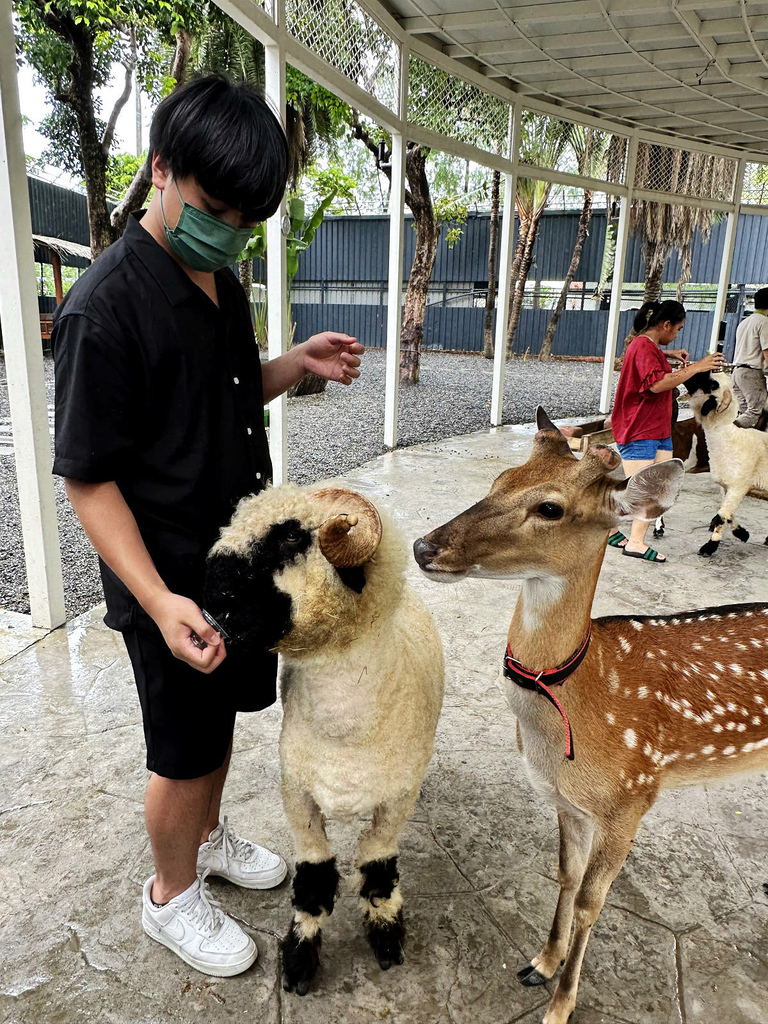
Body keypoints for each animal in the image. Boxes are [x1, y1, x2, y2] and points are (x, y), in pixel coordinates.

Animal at [202, 483, 444, 995]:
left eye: (292, 537)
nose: (211, 593)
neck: (346, 732)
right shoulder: (297, 793)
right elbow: (313, 880)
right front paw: (299, 961)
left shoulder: (395, 801)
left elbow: (378, 869)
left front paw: (387, 939)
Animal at [415, 407, 768, 1024]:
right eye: (500, 479)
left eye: (550, 508)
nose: (422, 547)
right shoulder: (569, 803)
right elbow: (564, 875)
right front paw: (540, 962)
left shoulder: (632, 799)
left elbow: (589, 902)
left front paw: (560, 1005)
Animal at [688, 368, 768, 557]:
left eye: (713, 384)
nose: (690, 375)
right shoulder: (726, 487)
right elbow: (728, 515)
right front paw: (742, 533)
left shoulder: (739, 485)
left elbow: (721, 516)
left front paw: (709, 547)